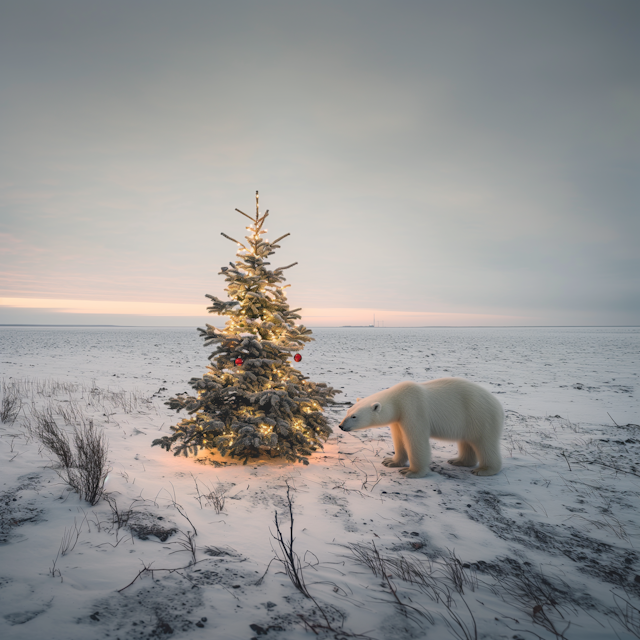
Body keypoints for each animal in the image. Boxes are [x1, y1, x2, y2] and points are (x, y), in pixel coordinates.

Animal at [338, 378, 502, 478]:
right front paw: (390, 461)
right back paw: (458, 461)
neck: (398, 399)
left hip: (479, 416)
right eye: (348, 411)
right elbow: (398, 438)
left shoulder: (413, 409)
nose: (341, 426)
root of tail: (497, 403)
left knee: (484, 443)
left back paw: (484, 470)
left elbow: (415, 440)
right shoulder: (399, 418)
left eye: (354, 416)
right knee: (467, 441)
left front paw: (410, 471)